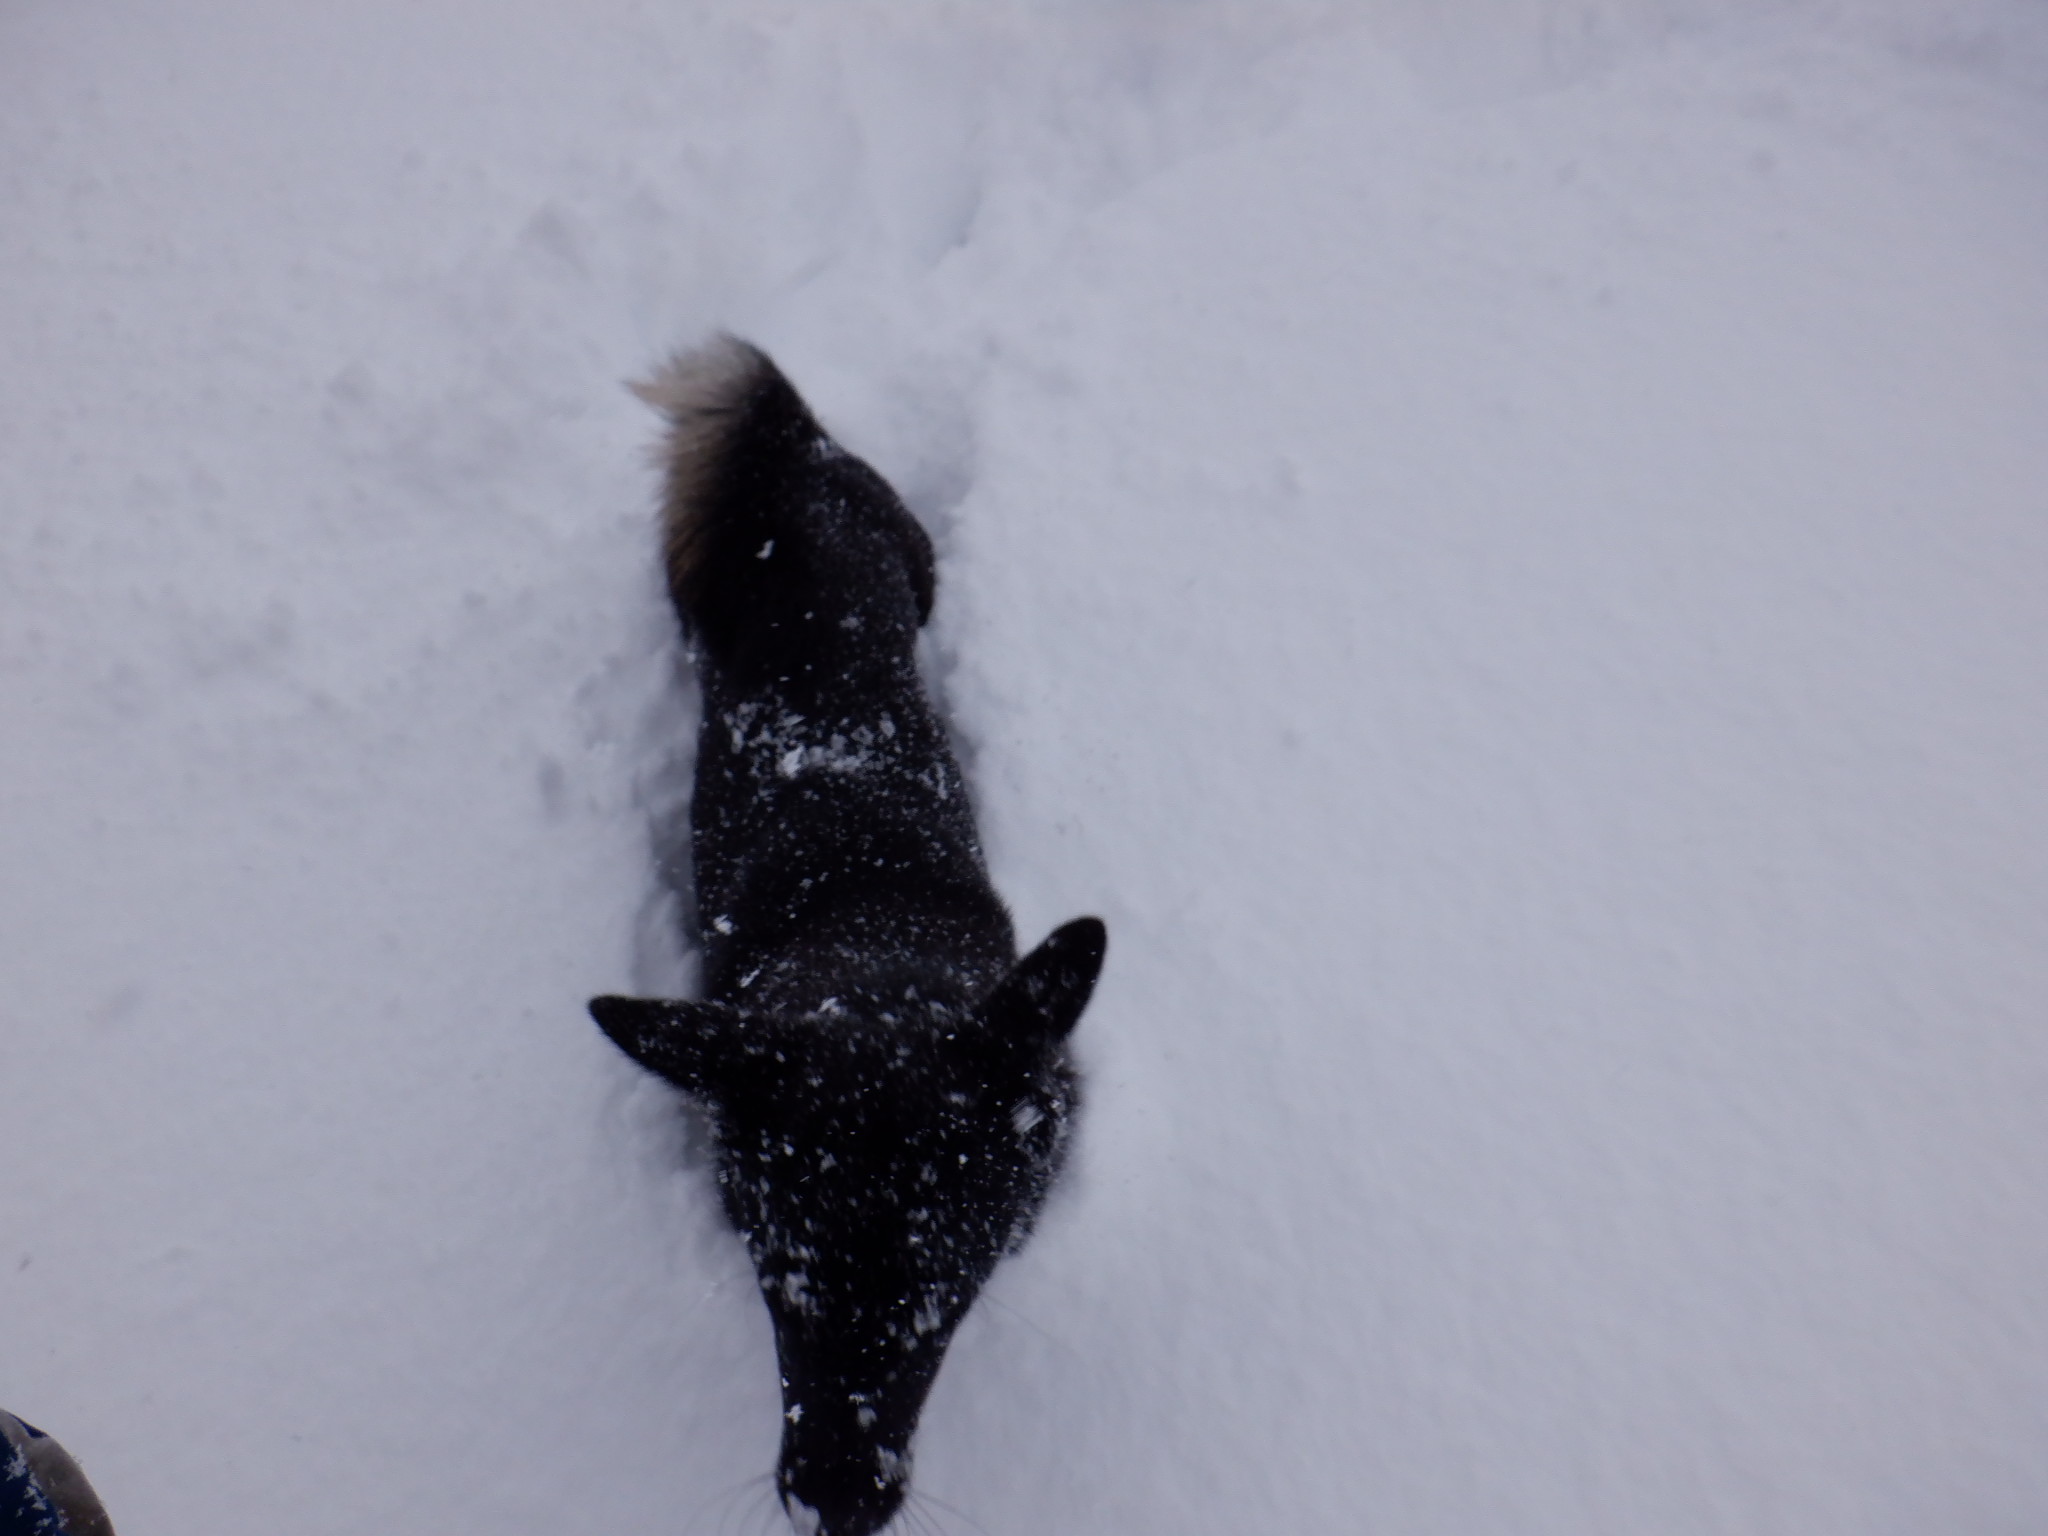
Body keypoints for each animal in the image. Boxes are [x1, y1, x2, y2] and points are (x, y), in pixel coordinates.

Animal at [593, 342, 1105, 1536]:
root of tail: (793, 451)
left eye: (939, 1298)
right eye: (777, 1285)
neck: (869, 957)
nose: (831, 1504)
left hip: (907, 551)